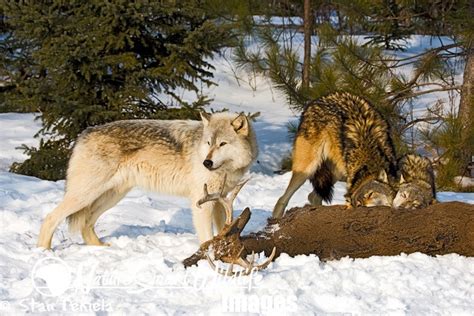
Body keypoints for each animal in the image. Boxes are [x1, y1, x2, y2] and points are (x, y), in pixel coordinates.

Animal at [37, 112, 260, 248]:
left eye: (222, 144)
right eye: (208, 143)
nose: (206, 162)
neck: (227, 169)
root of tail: (83, 134)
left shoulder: (221, 199)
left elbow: (224, 229)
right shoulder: (202, 201)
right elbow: (206, 235)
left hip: (111, 197)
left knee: (86, 223)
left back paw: (101, 248)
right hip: (86, 194)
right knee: (50, 217)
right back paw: (44, 252)